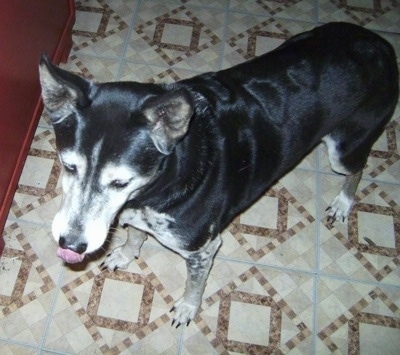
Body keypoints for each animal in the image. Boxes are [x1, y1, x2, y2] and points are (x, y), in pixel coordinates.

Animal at [39, 22, 398, 328]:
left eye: (120, 182)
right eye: (69, 166)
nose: (70, 243)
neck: (162, 182)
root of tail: (379, 42)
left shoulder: (202, 249)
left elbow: (194, 285)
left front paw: (187, 308)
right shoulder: (136, 213)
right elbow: (135, 235)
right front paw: (126, 254)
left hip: (345, 145)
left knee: (358, 168)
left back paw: (343, 203)